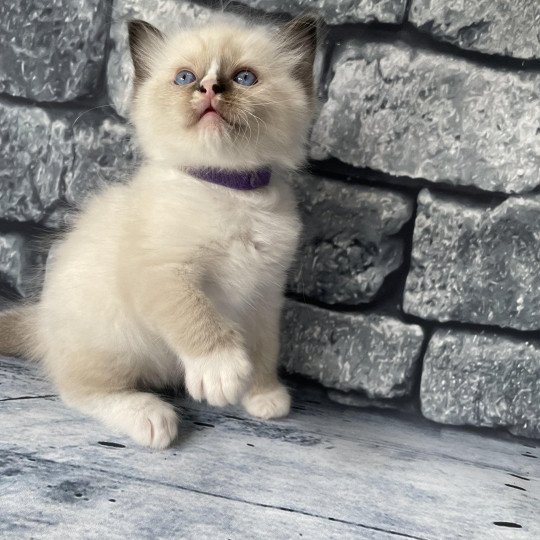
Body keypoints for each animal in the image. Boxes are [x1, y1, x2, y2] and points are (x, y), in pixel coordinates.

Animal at [0, 14, 316, 450]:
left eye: (245, 78)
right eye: (185, 77)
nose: (210, 89)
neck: (227, 188)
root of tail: (41, 323)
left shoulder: (265, 295)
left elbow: (265, 347)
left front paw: (264, 396)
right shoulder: (162, 272)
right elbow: (197, 317)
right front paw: (221, 374)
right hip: (112, 336)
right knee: (79, 389)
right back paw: (151, 417)